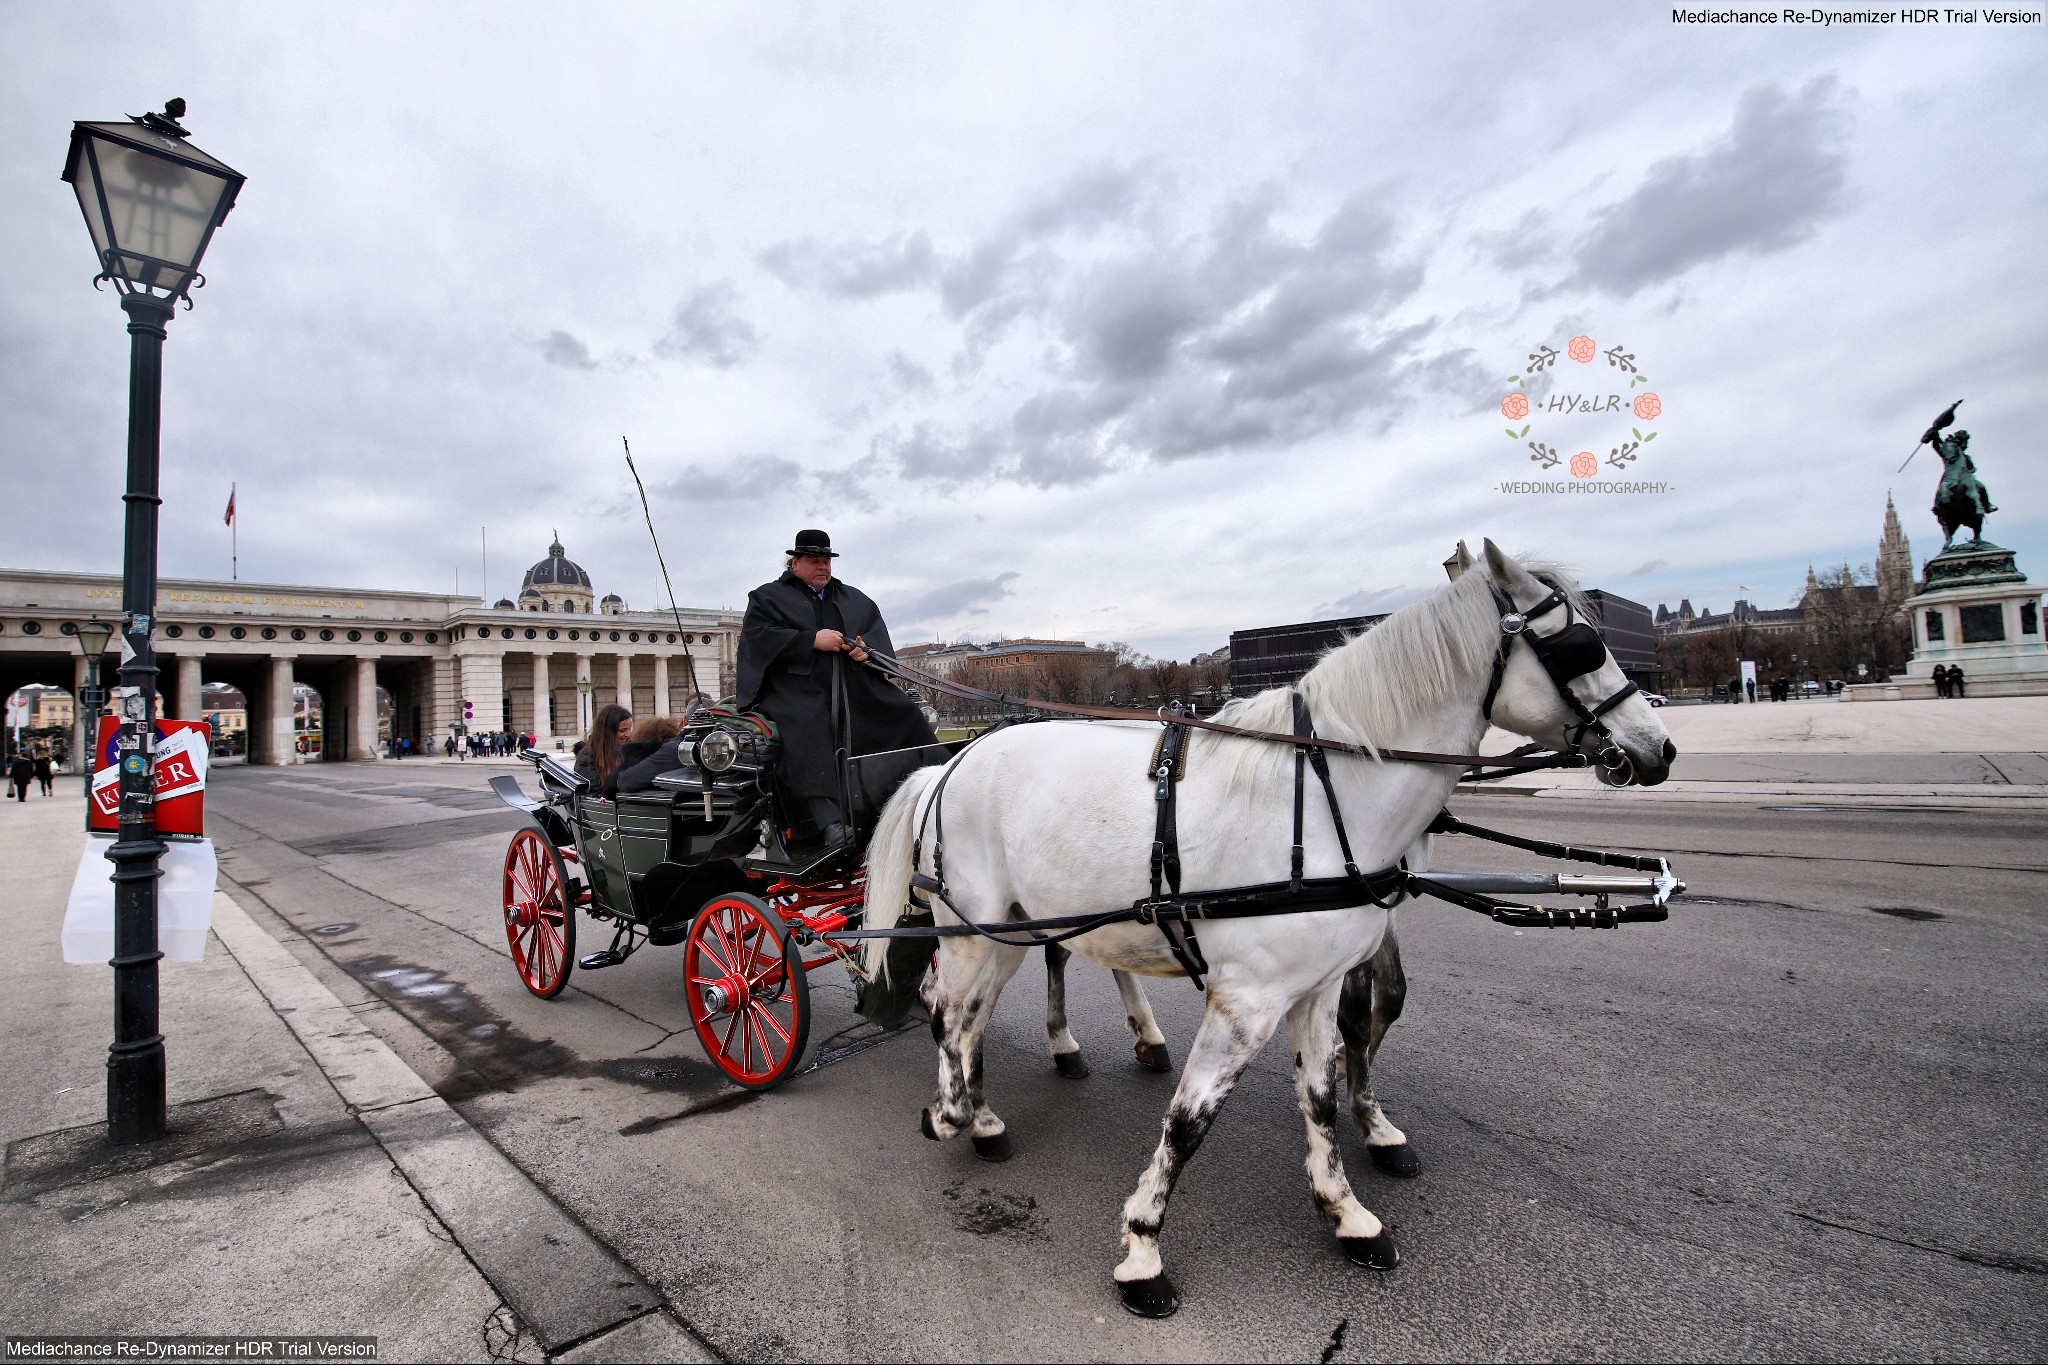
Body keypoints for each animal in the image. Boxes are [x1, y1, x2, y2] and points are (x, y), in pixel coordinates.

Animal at [856, 540, 1671, 1309]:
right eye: (1582, 645)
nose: (1659, 747)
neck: (1328, 795)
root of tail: (953, 759)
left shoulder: (1317, 985)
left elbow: (1322, 1090)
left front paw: (1347, 1208)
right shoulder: (1247, 1000)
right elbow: (1188, 1121)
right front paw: (1143, 1249)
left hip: (1018, 927)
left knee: (972, 1013)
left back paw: (984, 1113)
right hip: (975, 926)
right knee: (949, 1012)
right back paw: (954, 1112)